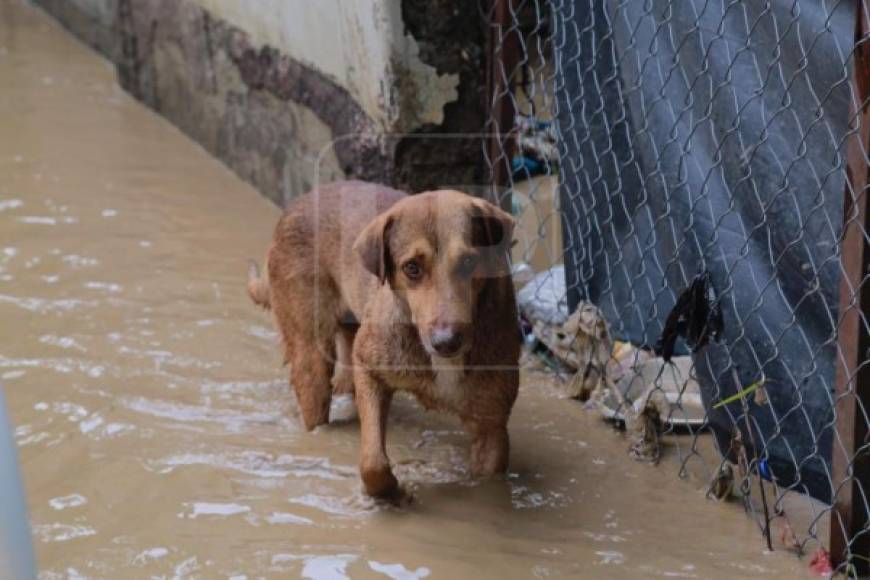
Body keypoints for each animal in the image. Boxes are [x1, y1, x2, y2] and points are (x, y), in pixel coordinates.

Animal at [245, 182, 520, 498]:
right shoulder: (369, 368)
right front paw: (393, 493)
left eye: (468, 261)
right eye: (411, 267)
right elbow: (372, 462)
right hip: (311, 358)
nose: (446, 342)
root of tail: (300, 201)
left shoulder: (492, 428)